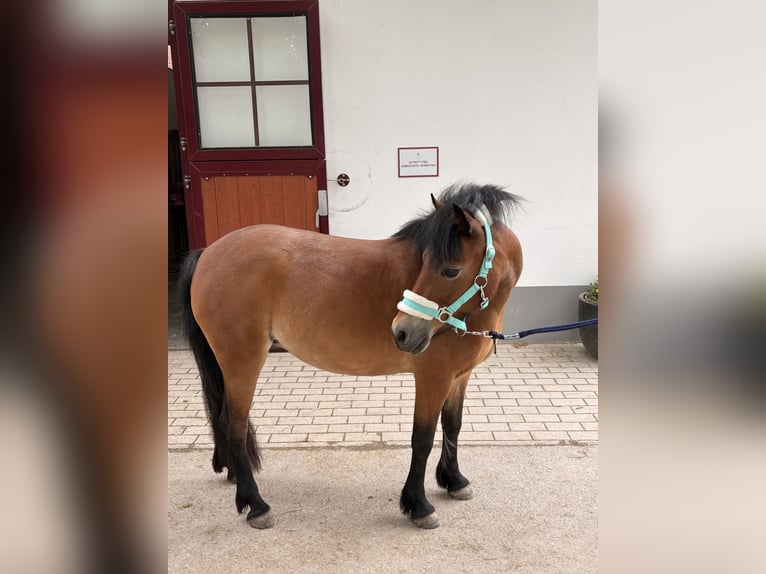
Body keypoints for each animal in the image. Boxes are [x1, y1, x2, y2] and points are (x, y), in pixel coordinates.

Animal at [178, 182, 523, 529]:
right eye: (428, 263)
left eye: (450, 270)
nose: (402, 332)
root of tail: (208, 252)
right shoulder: (433, 378)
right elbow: (423, 438)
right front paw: (419, 505)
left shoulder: (459, 376)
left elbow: (453, 425)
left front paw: (454, 481)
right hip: (242, 361)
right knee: (233, 424)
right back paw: (256, 505)